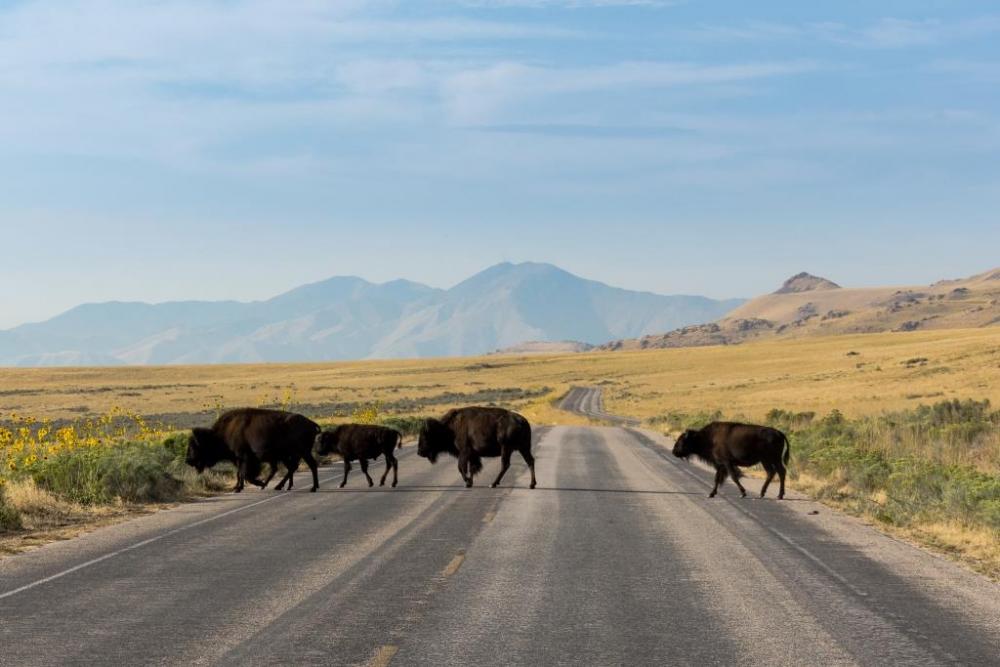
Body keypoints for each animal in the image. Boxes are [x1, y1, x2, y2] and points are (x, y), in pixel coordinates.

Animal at [182, 404, 318, 494]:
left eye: (194, 446)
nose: (188, 460)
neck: (219, 435)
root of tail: (311, 423)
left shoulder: (244, 457)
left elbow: (244, 474)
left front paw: (255, 484)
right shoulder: (239, 459)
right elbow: (240, 474)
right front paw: (238, 487)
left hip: (302, 452)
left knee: (310, 465)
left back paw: (313, 487)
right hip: (289, 455)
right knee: (290, 468)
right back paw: (281, 486)